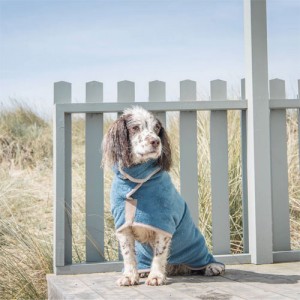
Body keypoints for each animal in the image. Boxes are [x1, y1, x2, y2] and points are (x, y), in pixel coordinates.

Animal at [102, 106, 224, 286]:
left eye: (157, 128)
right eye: (135, 128)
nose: (155, 142)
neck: (137, 178)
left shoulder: (164, 223)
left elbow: (159, 254)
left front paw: (156, 276)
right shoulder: (123, 224)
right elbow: (128, 254)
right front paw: (130, 276)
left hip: (196, 246)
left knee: (203, 260)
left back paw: (213, 266)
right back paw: (143, 271)